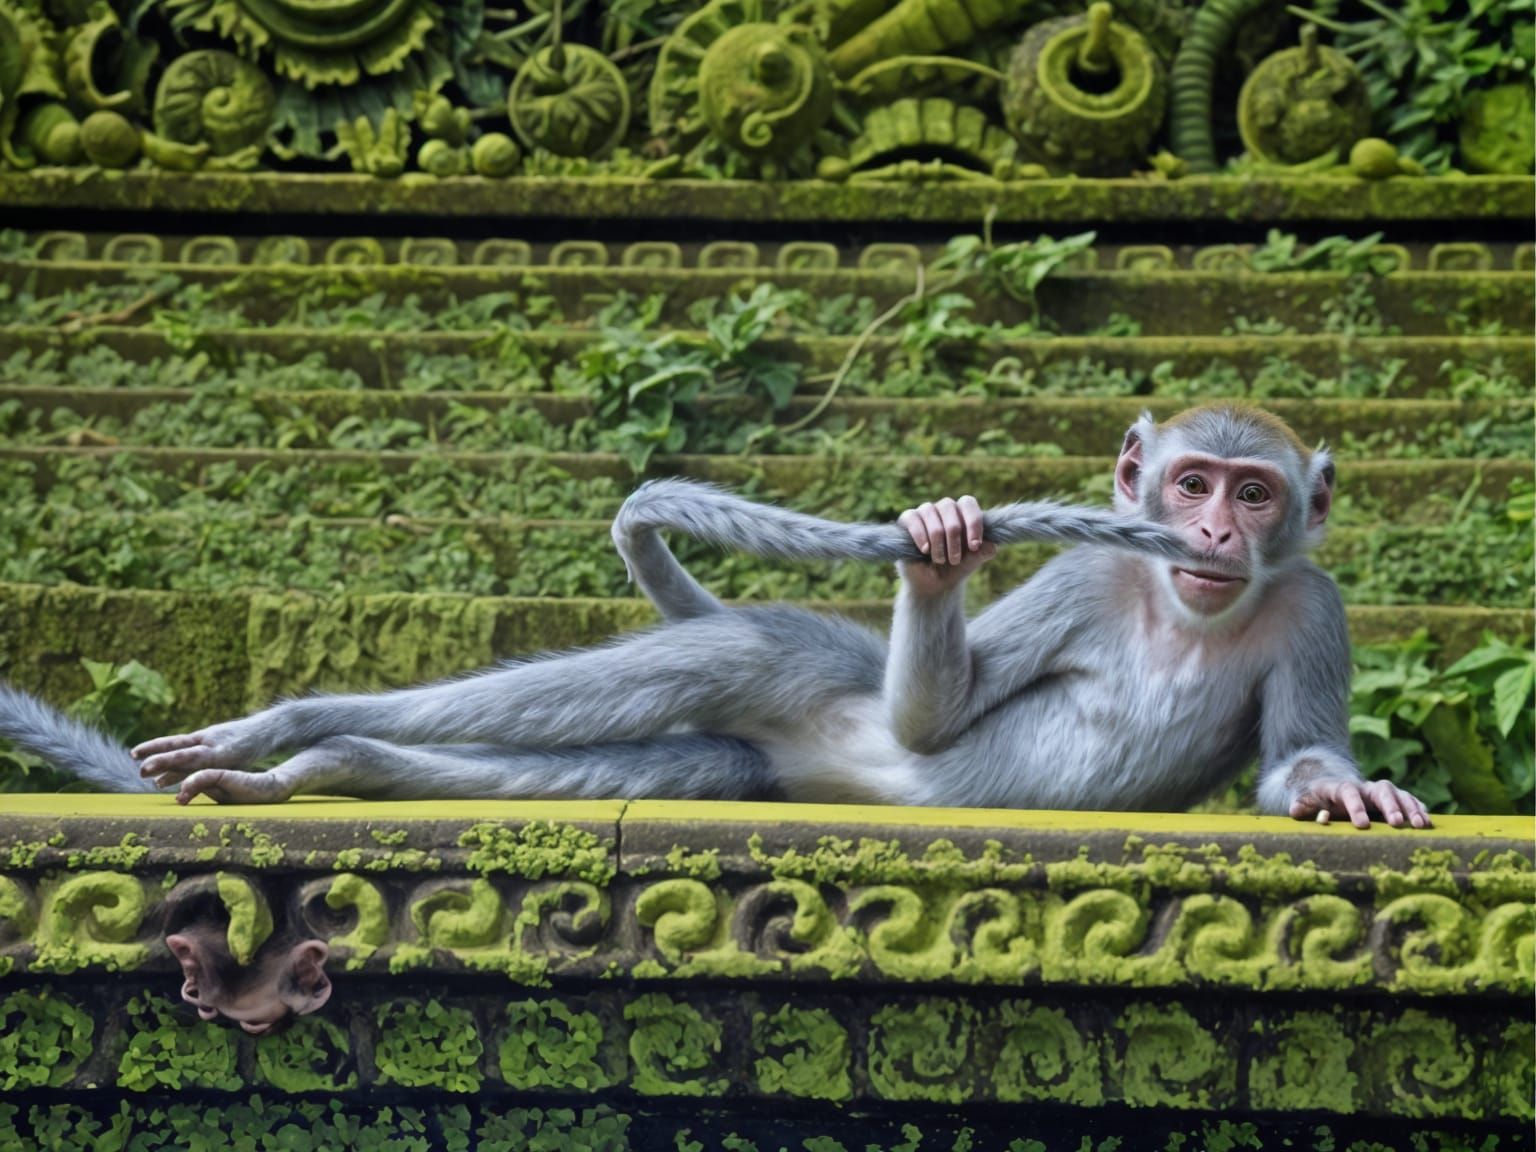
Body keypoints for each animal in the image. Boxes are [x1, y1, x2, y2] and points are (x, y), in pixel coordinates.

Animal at [0, 405, 1428, 828]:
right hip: (810, 681)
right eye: (1190, 482)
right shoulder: (1085, 581)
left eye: (1255, 491)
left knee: (682, 758)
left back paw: (326, 767)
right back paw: (289, 731)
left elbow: (1295, 758)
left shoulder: (1313, 606)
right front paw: (941, 549)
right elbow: (943, 718)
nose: (1215, 535)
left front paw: (1339, 789)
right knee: (727, 652)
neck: (1184, 607)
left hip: (767, 760)